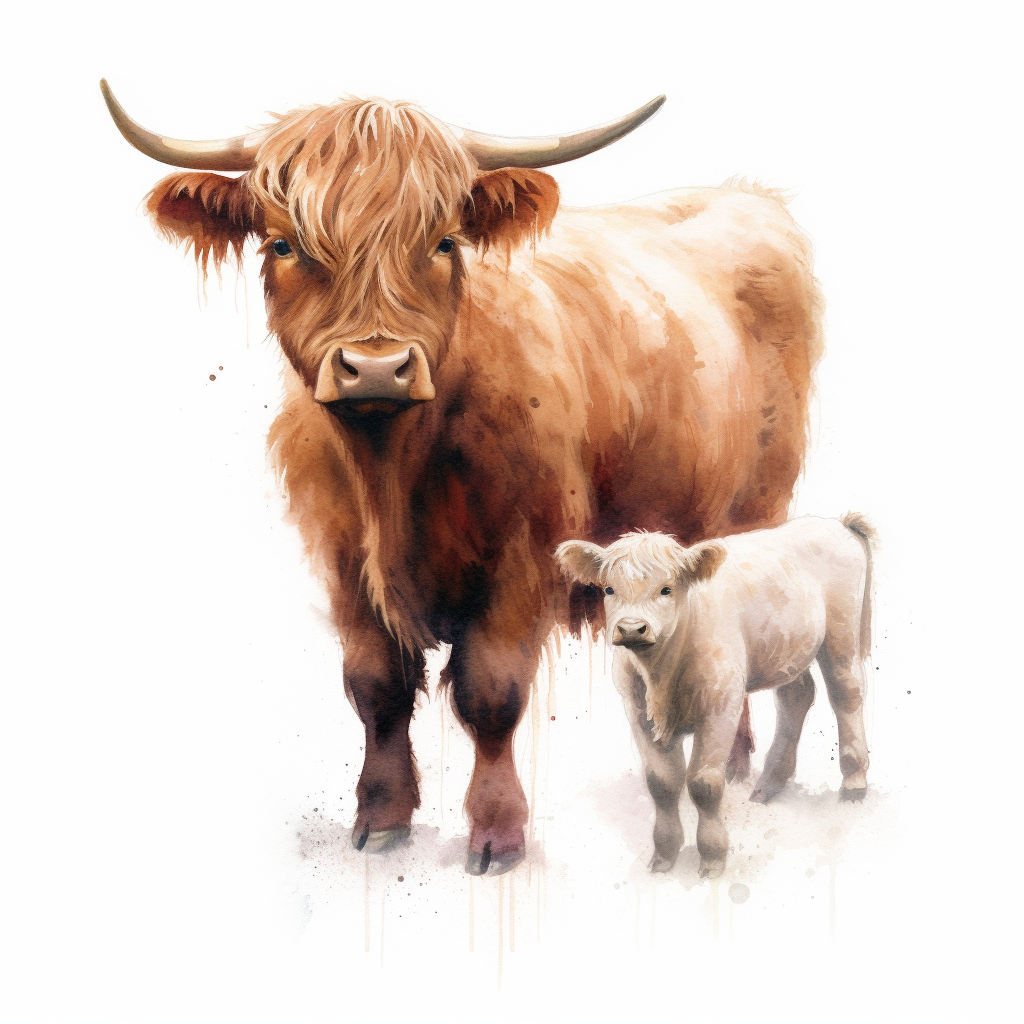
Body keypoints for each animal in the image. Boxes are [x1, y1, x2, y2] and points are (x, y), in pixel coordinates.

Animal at [101, 81, 824, 875]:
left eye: (444, 242)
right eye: (284, 244)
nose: (375, 367)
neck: (392, 467)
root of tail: (745, 195)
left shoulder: (524, 560)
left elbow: (490, 692)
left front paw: (498, 834)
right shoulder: (342, 557)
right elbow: (376, 686)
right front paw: (382, 817)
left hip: (757, 504)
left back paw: (739, 760)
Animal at [555, 515, 874, 878]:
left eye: (667, 589)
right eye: (609, 589)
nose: (632, 628)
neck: (661, 675)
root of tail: (834, 522)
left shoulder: (721, 708)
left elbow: (703, 784)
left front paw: (712, 857)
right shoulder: (638, 712)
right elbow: (661, 782)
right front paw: (664, 855)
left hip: (841, 634)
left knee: (846, 692)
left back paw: (854, 783)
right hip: (788, 649)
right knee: (796, 696)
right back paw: (769, 784)